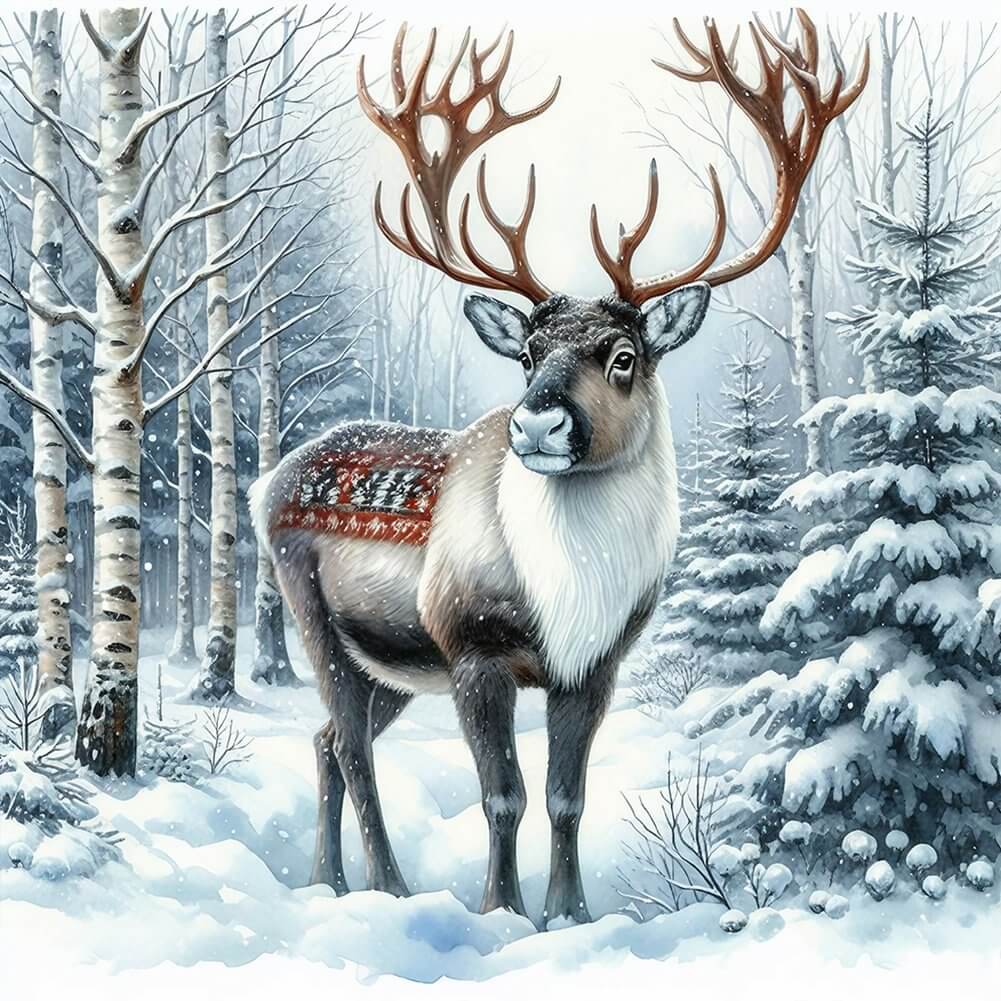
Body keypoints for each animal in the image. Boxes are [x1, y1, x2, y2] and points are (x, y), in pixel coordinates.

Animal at [250, 11, 868, 926]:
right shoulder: (473, 648)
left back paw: (329, 880)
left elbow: (565, 795)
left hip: (390, 663)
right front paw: (500, 910)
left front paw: (569, 912)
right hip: (316, 618)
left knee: (327, 738)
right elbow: (502, 794)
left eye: (623, 356)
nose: (536, 420)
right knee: (353, 748)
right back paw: (389, 886)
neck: (568, 593)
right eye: (527, 355)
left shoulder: (595, 666)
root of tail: (268, 479)